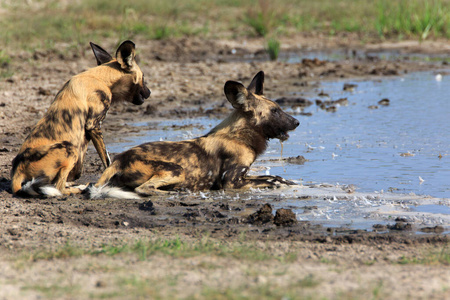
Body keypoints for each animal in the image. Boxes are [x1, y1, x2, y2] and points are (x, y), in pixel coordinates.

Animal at [10, 39, 151, 197]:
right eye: (144, 77)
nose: (149, 92)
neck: (102, 78)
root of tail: (18, 169)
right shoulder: (93, 125)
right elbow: (107, 160)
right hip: (70, 149)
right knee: (59, 187)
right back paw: (81, 188)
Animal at [88, 70, 298, 199]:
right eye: (275, 111)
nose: (297, 122)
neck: (240, 136)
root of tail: (118, 160)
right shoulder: (231, 182)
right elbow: (272, 182)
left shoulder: (244, 176)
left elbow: (276, 178)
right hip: (177, 170)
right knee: (144, 188)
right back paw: (176, 193)